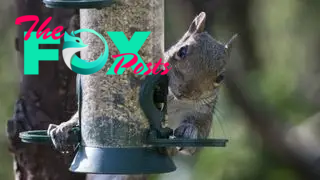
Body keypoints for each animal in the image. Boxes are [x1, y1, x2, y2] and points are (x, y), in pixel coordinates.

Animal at [47, 12, 238, 156]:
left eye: (220, 78)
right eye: (182, 51)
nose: (186, 91)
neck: (174, 101)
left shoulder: (204, 113)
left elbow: (197, 136)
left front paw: (190, 131)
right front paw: (64, 127)